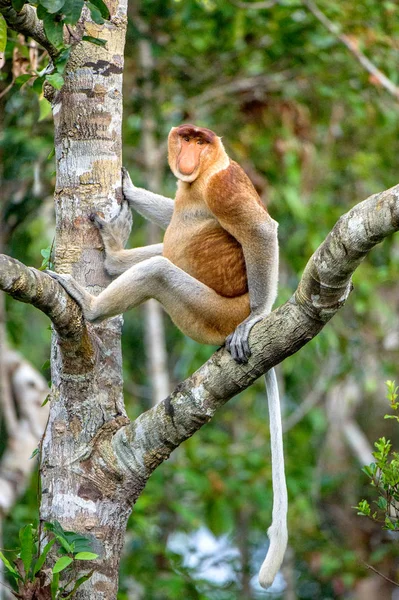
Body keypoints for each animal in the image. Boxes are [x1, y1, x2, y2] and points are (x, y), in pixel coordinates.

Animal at [47, 124, 288, 588]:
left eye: (201, 141)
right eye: (186, 137)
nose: (188, 153)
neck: (202, 178)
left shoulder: (224, 186)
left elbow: (263, 230)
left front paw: (258, 318)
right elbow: (172, 212)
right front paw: (129, 188)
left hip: (210, 312)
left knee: (159, 270)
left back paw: (92, 303)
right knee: (162, 251)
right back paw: (114, 258)